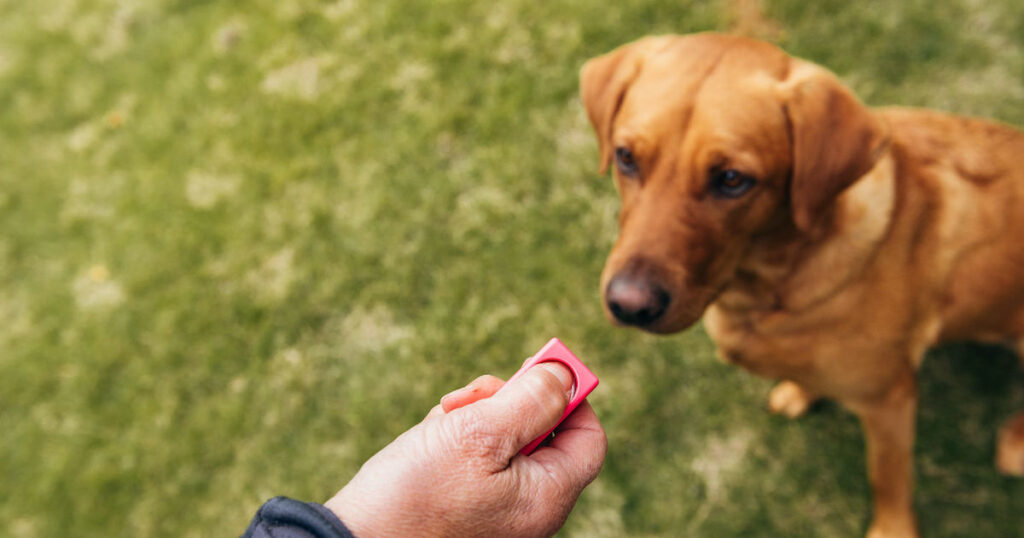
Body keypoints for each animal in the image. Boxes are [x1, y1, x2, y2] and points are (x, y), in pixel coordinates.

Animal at [581, 31, 1024, 532]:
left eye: (732, 179)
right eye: (626, 157)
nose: (629, 306)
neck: (767, 286)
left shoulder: (889, 401)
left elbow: (887, 478)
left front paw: (892, 530)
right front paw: (800, 391)